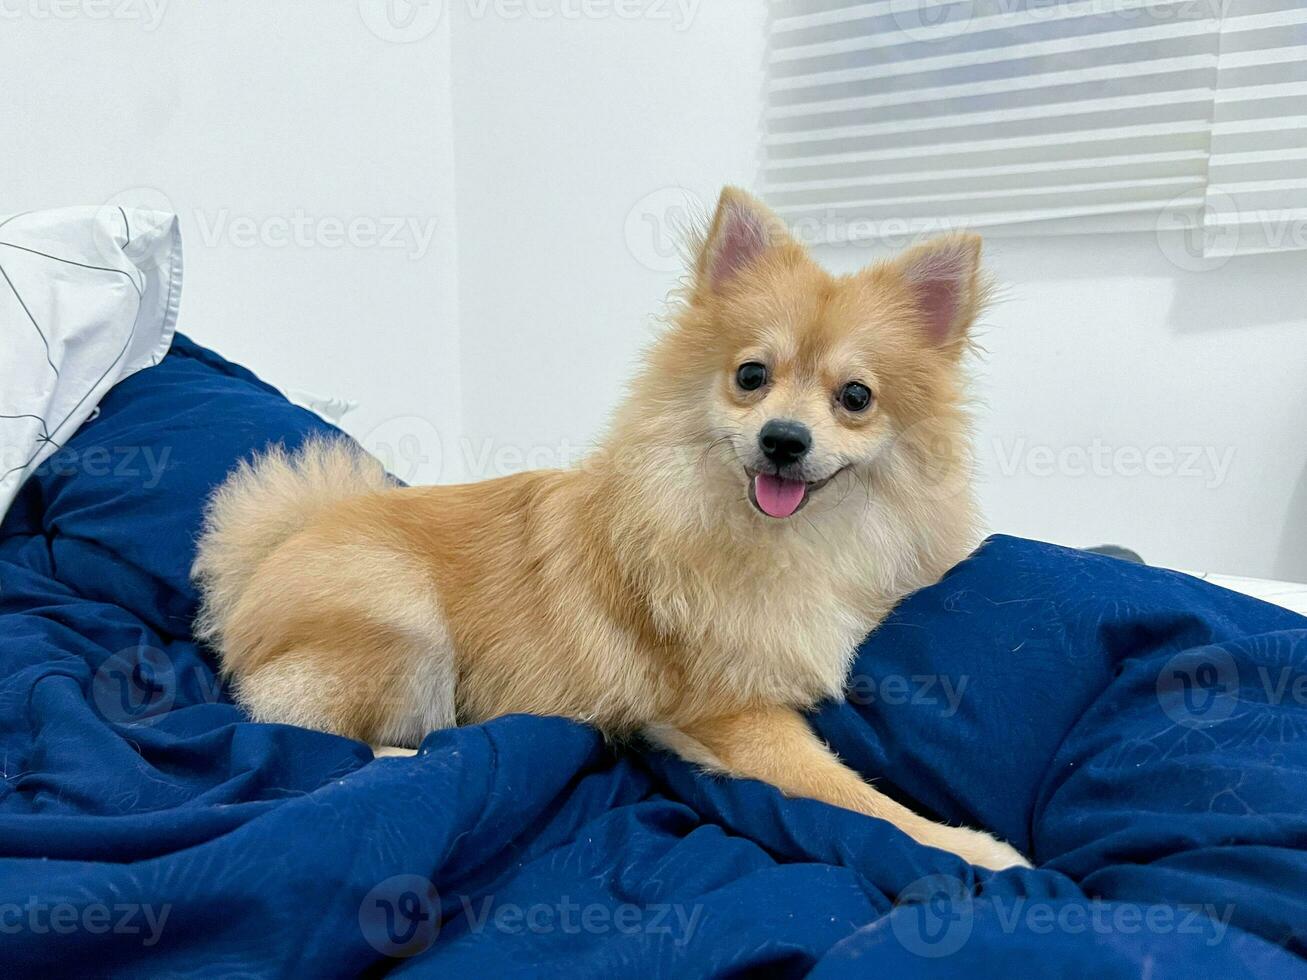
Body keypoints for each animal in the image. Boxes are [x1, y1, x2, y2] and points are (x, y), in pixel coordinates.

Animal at [190, 188, 1029, 872]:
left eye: (855, 398)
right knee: (305, 730)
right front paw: (971, 847)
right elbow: (855, 795)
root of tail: (276, 546)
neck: (779, 540)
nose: (783, 439)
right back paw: (403, 751)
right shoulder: (732, 712)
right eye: (750, 377)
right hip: (400, 619)